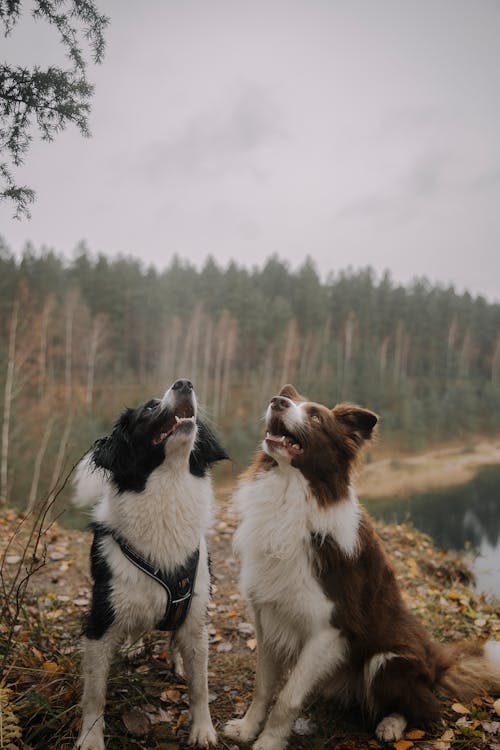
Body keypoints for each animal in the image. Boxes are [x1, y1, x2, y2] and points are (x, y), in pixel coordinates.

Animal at [73, 382, 227, 750]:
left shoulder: (194, 614)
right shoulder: (101, 622)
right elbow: (94, 693)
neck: (167, 486)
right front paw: (91, 737)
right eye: (148, 409)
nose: (184, 383)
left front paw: (203, 730)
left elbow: (200, 687)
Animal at [224, 388, 500, 750]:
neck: (290, 495)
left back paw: (392, 726)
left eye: (315, 417)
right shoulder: (268, 614)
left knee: (424, 707)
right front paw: (247, 729)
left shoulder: (330, 628)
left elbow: (287, 698)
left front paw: (269, 742)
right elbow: (264, 686)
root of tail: (436, 664)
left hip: (388, 660)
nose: (277, 401)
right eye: (290, 401)